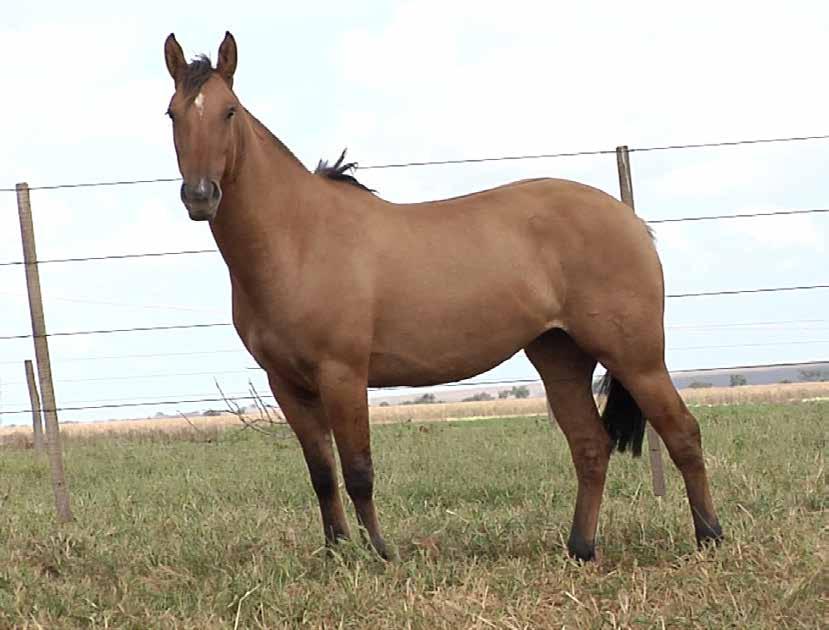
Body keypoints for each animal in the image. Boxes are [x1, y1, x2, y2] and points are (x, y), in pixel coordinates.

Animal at [163, 32, 720, 560]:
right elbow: (321, 474)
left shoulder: (342, 374)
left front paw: (381, 554)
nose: (200, 196)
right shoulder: (286, 384)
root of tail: (630, 221)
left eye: (229, 110)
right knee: (590, 446)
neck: (298, 237)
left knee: (683, 433)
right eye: (172, 113)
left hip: (636, 357)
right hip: (559, 355)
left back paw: (709, 538)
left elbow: (358, 469)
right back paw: (580, 549)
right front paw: (335, 554)